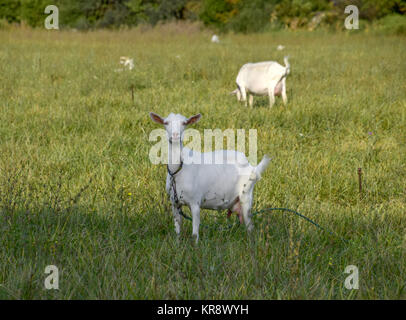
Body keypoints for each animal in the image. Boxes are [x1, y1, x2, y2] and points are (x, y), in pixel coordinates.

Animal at [148, 112, 270, 242]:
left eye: (184, 123)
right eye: (166, 122)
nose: (175, 136)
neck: (178, 171)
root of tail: (252, 167)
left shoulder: (195, 201)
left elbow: (195, 233)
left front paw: (195, 246)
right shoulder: (174, 203)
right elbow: (177, 230)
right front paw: (177, 243)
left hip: (246, 193)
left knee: (250, 226)